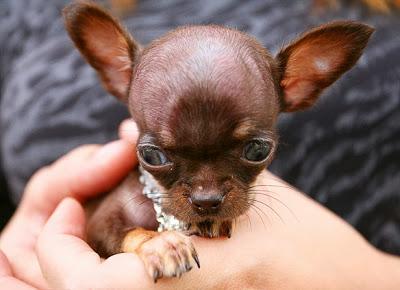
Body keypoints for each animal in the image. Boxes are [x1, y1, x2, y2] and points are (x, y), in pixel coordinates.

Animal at [63, 0, 376, 280]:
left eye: (258, 150)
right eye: (151, 156)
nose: (207, 200)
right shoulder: (99, 222)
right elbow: (130, 232)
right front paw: (162, 243)